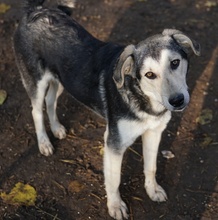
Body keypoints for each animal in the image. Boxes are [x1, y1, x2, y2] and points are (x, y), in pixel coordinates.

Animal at [13, 0, 201, 219]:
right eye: (149, 74)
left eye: (175, 62)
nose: (177, 100)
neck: (143, 98)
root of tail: (34, 10)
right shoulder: (113, 143)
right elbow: (114, 180)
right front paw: (115, 206)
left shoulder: (154, 132)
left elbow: (151, 166)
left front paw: (152, 190)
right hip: (36, 81)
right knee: (36, 111)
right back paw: (44, 142)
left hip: (63, 80)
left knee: (51, 101)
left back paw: (57, 128)